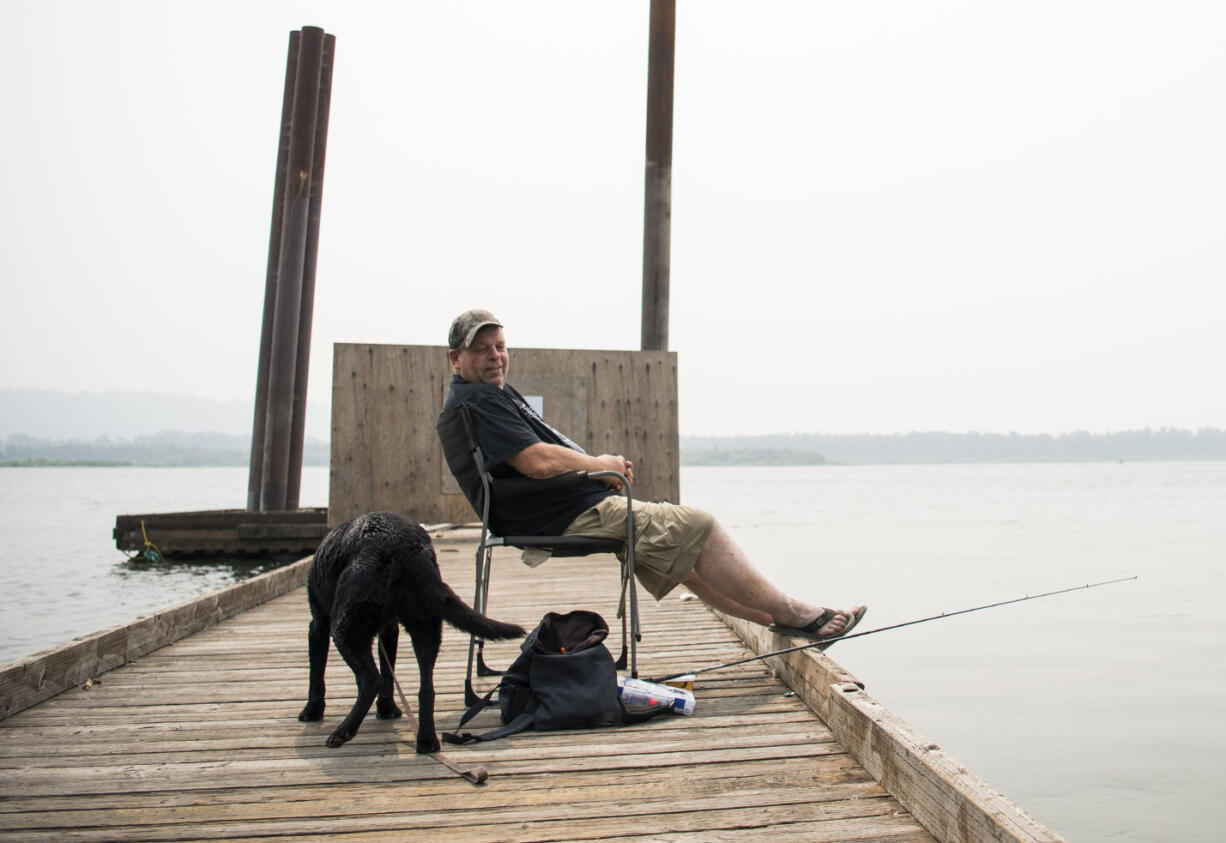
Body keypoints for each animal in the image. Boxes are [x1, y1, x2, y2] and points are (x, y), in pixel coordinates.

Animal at [301, 509, 527, 754]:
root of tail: (403, 548)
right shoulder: (389, 630)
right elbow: (389, 673)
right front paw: (387, 709)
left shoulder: (318, 623)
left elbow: (317, 676)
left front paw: (311, 712)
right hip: (426, 627)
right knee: (426, 689)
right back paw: (427, 741)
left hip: (345, 628)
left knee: (371, 680)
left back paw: (343, 732)